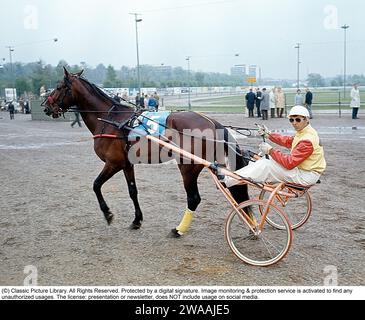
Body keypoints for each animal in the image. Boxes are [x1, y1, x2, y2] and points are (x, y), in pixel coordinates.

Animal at [42, 67, 247, 236]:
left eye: (59, 87)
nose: (46, 106)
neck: (112, 120)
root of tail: (211, 121)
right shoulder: (126, 164)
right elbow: (133, 191)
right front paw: (136, 220)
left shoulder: (113, 163)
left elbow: (96, 185)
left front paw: (108, 213)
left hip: (188, 166)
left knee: (194, 198)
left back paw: (179, 229)